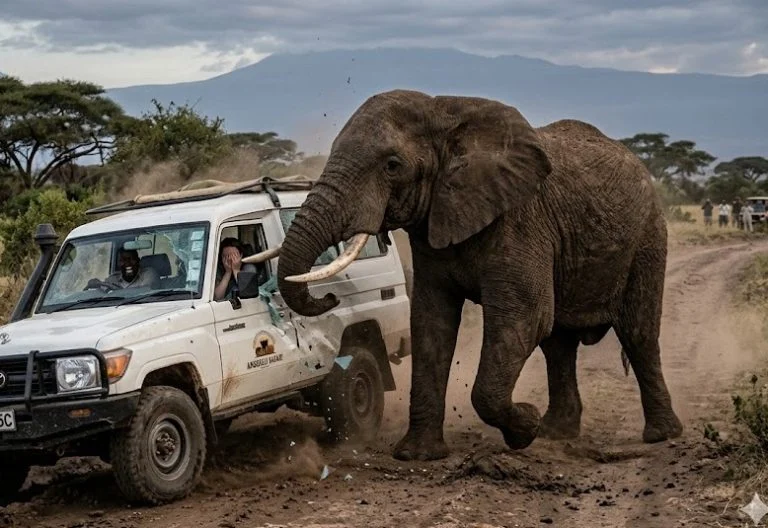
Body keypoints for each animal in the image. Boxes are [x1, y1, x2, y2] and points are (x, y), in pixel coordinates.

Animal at [265, 89, 684, 461]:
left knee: (638, 333)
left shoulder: (521, 220)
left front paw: (524, 427)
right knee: (558, 344)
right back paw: (556, 433)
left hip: (648, 236)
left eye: (392, 165)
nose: (330, 296)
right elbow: (432, 322)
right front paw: (418, 456)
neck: (444, 114)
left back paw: (661, 435)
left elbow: (524, 317)